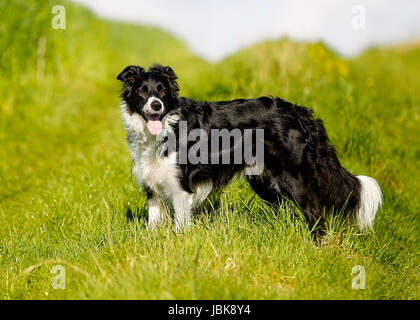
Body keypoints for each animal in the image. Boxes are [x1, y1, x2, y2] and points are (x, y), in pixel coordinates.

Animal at [116, 63, 382, 234]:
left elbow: (181, 228)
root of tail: (300, 112)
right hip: (263, 181)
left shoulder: (181, 189)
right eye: (142, 91)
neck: (164, 127)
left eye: (161, 90)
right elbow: (153, 226)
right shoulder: (153, 189)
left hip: (294, 179)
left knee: (317, 217)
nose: (156, 105)